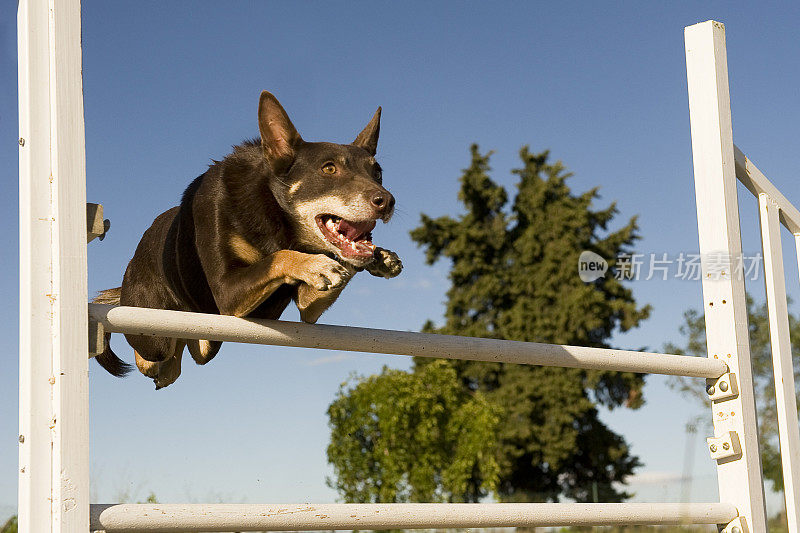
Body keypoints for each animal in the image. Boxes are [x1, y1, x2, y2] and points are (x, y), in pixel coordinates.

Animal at [95, 91, 400, 388]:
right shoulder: (227, 290)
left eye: (378, 172)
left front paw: (379, 258)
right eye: (329, 169)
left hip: (206, 331)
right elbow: (277, 257)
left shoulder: (307, 307)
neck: (272, 211)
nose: (387, 201)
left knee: (185, 352)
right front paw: (317, 264)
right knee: (152, 353)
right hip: (153, 331)